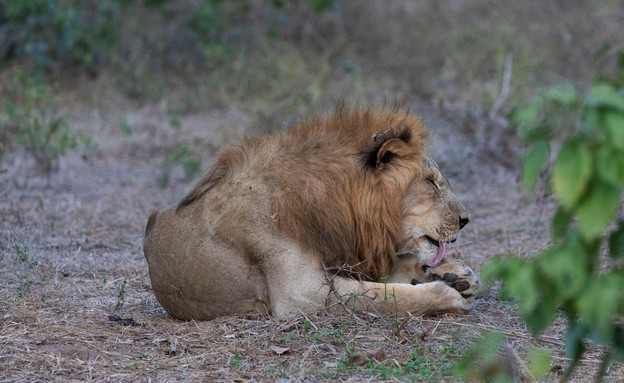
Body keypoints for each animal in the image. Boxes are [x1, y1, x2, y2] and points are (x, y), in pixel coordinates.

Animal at [144, 108, 480, 320]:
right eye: (430, 182)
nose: (465, 220)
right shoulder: (301, 294)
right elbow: (385, 297)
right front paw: (446, 294)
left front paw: (454, 274)